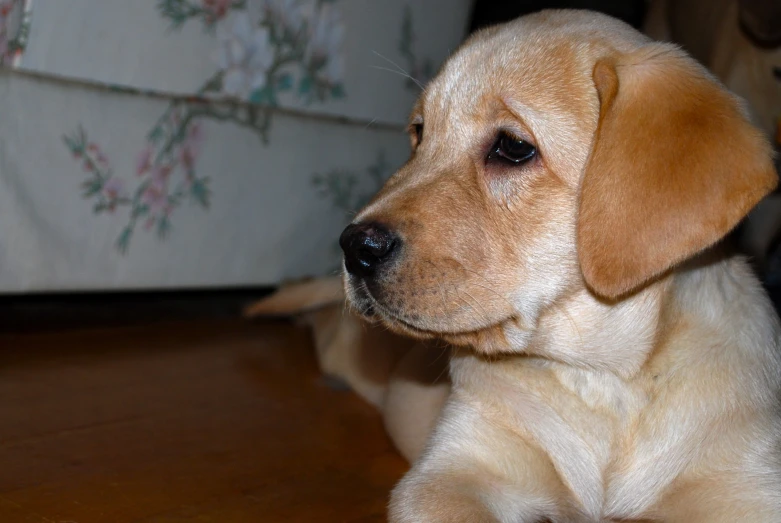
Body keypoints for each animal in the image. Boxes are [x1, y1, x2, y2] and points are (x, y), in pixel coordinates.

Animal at [340, 9, 780, 523]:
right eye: (419, 132)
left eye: (513, 147)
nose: (353, 247)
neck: (602, 379)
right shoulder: (450, 474)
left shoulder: (749, 485)